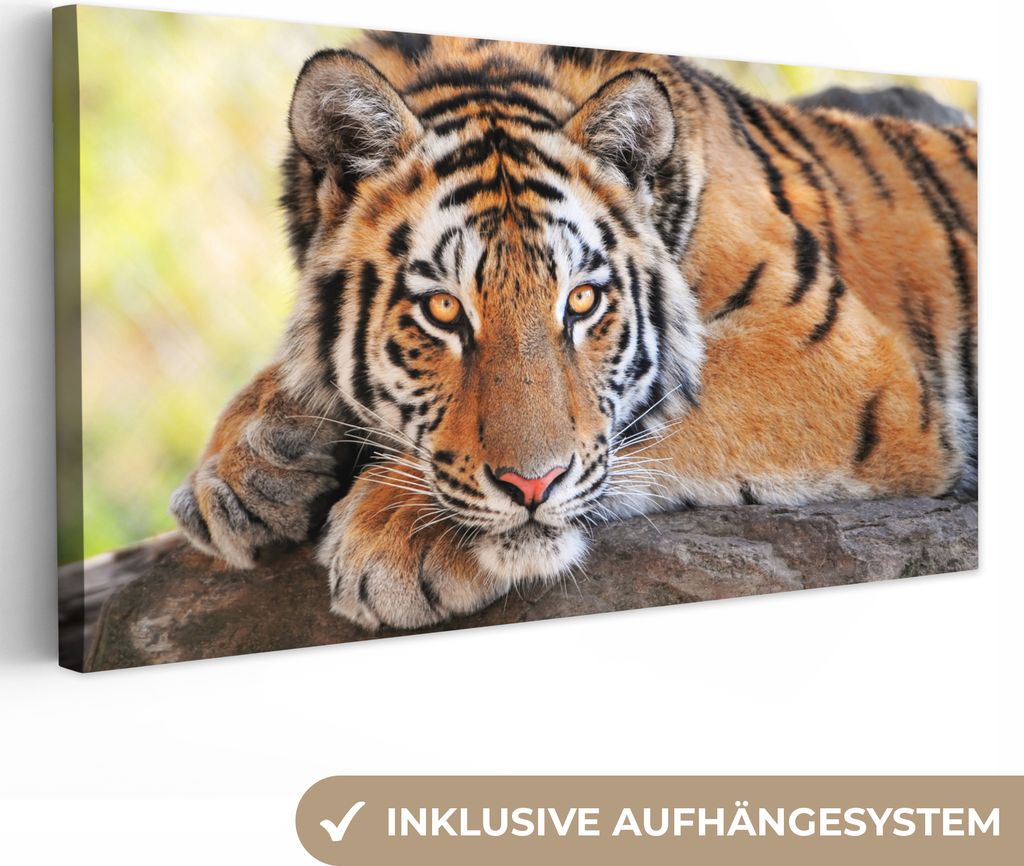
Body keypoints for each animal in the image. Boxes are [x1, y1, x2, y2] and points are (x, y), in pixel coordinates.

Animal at [170, 31, 977, 631]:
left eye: (582, 301)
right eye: (444, 312)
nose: (532, 486)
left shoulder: (837, 354)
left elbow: (647, 415)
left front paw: (396, 530)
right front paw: (241, 469)